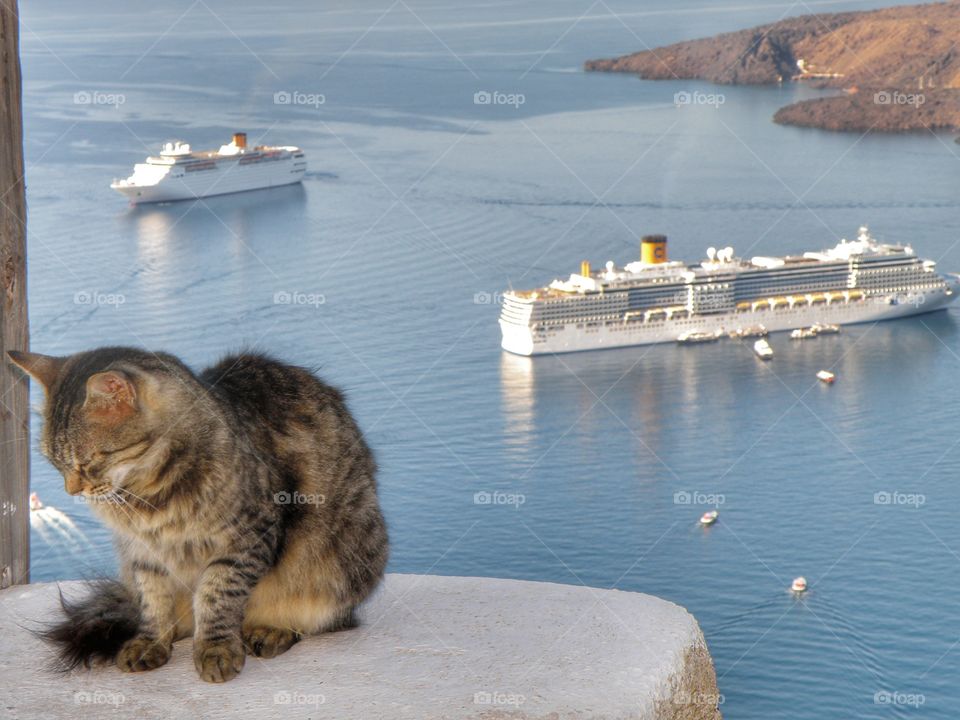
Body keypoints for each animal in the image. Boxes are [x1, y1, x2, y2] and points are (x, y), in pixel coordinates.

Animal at [6, 346, 390, 684]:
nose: (73, 490)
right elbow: (153, 602)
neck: (147, 499)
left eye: (88, 461)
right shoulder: (142, 553)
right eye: (56, 464)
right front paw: (151, 642)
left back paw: (270, 631)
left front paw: (215, 649)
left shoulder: (247, 537)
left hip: (340, 565)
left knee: (319, 618)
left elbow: (215, 596)